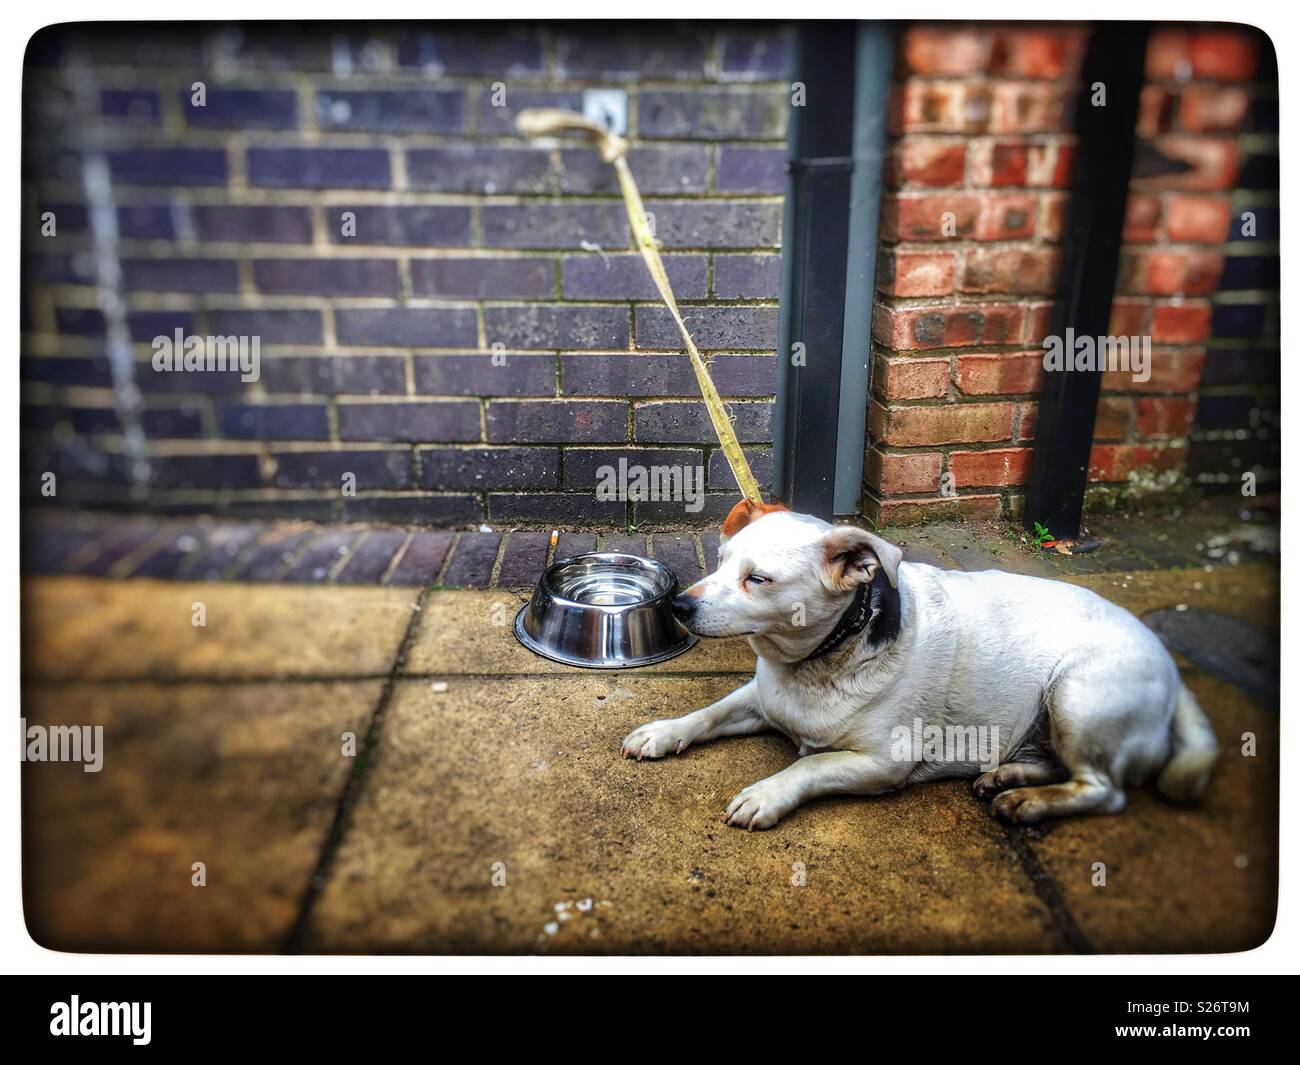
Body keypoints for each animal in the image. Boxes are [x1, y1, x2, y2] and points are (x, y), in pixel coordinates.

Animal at [621, 501, 1216, 832]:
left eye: (758, 579)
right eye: (719, 562)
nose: (679, 606)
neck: (818, 660)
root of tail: (1168, 665)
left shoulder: (882, 763)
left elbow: (809, 766)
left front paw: (767, 793)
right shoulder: (759, 698)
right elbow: (708, 713)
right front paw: (664, 733)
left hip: (1076, 692)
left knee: (1103, 788)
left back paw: (1029, 800)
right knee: (1061, 765)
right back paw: (1010, 775)